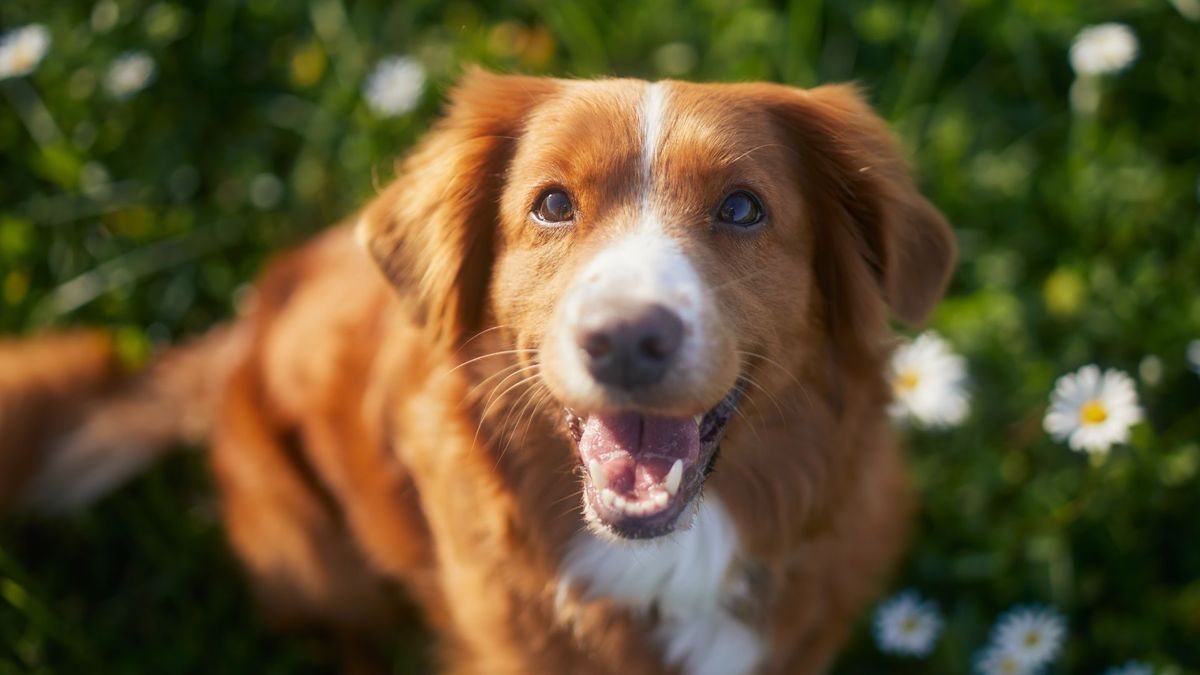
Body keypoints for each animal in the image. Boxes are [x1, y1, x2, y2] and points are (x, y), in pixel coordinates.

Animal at [0, 70, 955, 667]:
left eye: (744, 208)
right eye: (552, 204)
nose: (624, 338)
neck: (665, 565)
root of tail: (245, 324)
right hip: (312, 553)